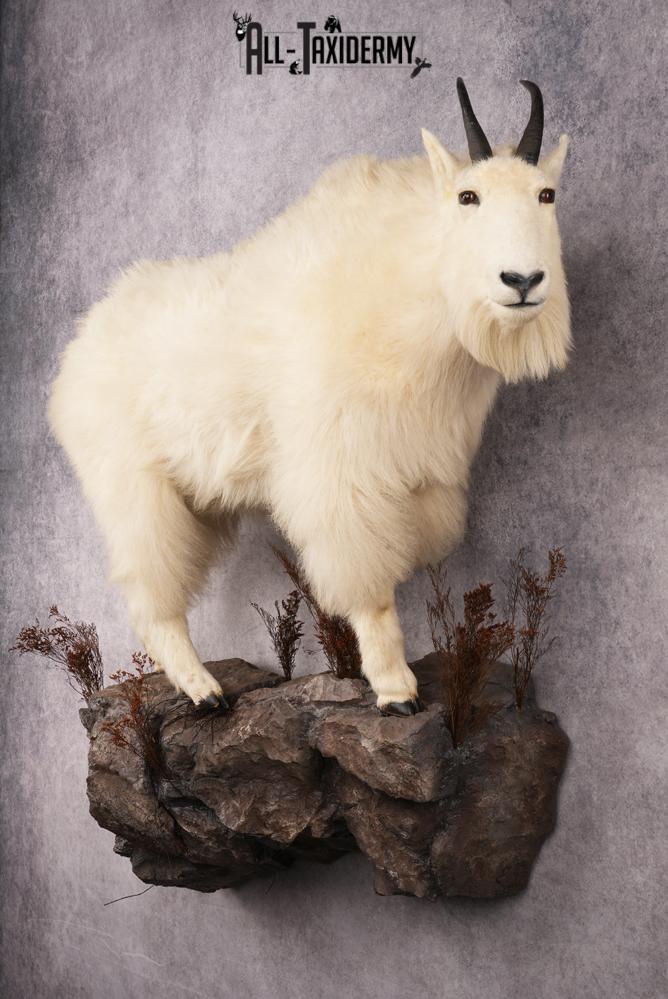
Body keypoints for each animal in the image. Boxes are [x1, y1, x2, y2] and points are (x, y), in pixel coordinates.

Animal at [48, 78, 571, 716]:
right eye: (467, 196)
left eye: (546, 193)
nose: (522, 281)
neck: (414, 297)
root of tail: (74, 358)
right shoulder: (341, 477)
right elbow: (369, 588)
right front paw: (395, 689)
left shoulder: (426, 468)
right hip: (136, 493)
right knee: (152, 599)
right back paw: (204, 691)